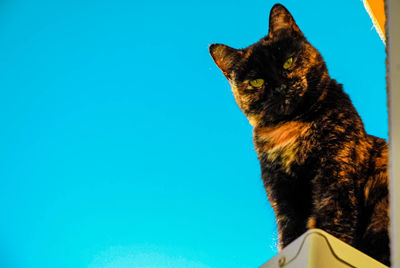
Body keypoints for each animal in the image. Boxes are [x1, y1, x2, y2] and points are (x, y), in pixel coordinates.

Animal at [208, 2, 390, 266]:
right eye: (257, 81)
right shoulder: (282, 193)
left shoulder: (336, 172)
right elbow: (290, 232)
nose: (279, 87)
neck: (291, 129)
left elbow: (333, 219)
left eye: (288, 62)